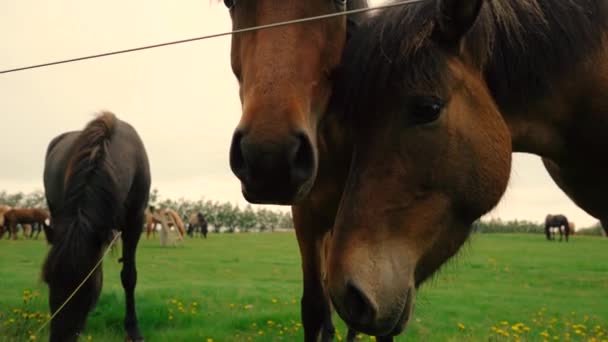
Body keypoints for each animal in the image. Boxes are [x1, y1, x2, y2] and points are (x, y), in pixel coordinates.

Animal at [42, 112, 150, 342]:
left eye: (86, 286)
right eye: (48, 279)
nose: (60, 337)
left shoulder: (135, 223)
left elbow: (129, 276)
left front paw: (133, 330)